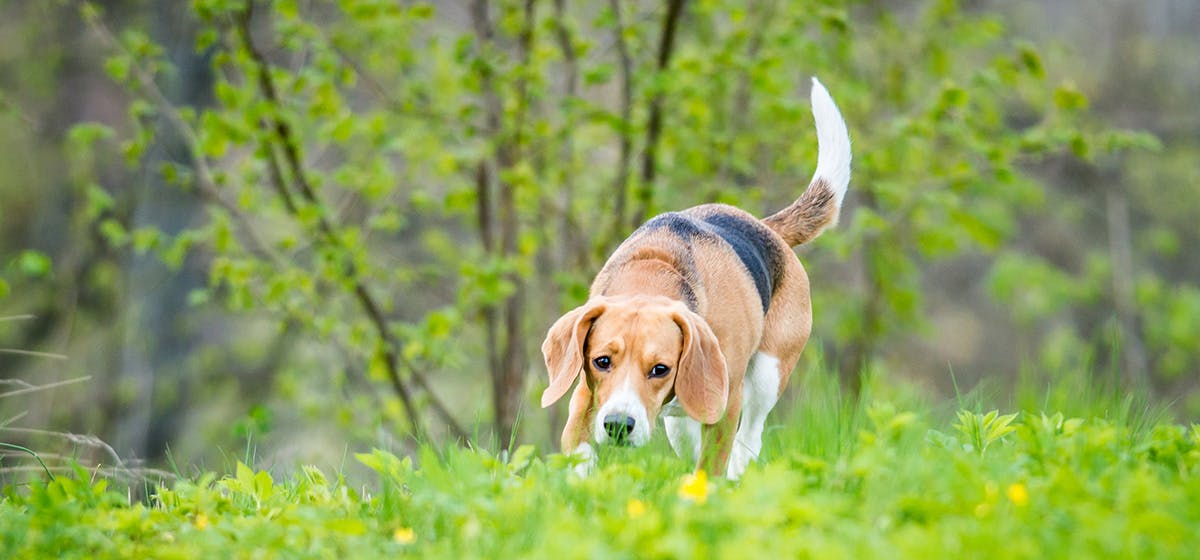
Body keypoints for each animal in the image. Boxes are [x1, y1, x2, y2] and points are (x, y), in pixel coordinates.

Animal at [540, 76, 849, 479]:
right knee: (687, 433)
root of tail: (766, 227)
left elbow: (712, 463)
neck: (652, 275)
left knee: (749, 438)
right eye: (602, 361)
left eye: (660, 369)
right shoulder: (584, 393)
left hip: (768, 373)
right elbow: (579, 453)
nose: (619, 425)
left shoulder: (725, 401)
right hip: (679, 418)